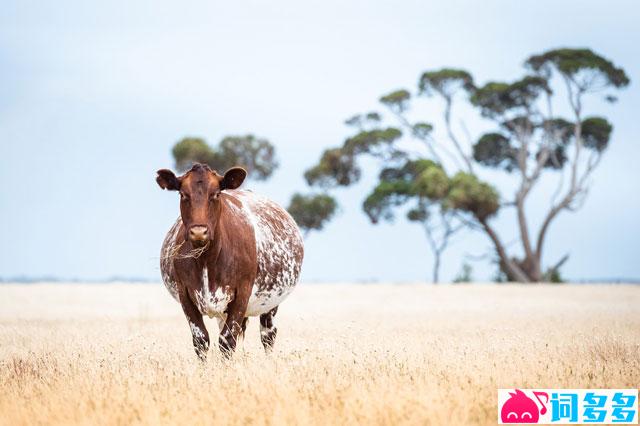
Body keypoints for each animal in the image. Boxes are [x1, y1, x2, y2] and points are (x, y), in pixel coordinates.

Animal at [156, 163, 304, 360]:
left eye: (216, 194)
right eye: (183, 194)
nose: (199, 232)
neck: (207, 259)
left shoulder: (242, 292)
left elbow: (227, 341)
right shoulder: (185, 294)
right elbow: (201, 341)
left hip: (271, 303)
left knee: (268, 334)